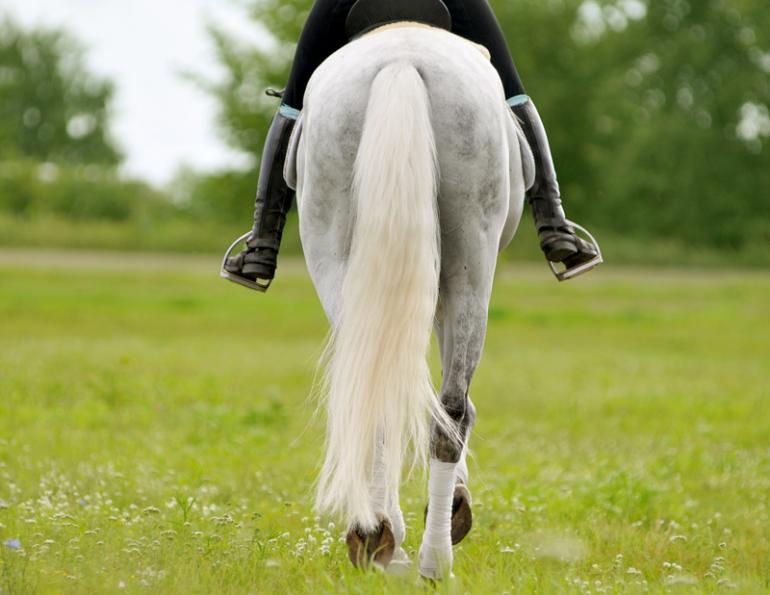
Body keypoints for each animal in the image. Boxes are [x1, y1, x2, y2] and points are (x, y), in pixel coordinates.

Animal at [284, 23, 533, 578]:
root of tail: (402, 57)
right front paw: (454, 507)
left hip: (340, 260)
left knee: (378, 395)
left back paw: (377, 536)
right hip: (468, 272)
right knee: (450, 410)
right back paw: (432, 557)